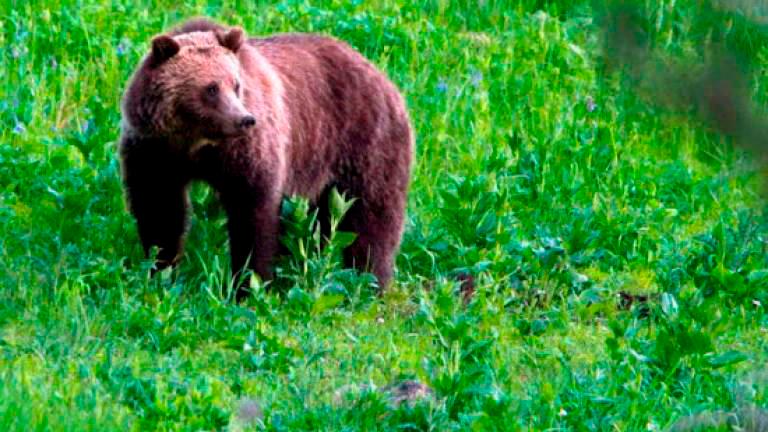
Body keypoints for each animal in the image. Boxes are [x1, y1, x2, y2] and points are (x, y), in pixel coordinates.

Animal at [119, 18, 413, 298]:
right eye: (211, 88)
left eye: (236, 84)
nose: (244, 120)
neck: (196, 144)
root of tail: (382, 75)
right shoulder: (154, 151)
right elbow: (160, 210)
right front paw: (160, 271)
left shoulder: (245, 153)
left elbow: (252, 213)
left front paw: (249, 285)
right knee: (325, 222)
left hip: (364, 142)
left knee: (372, 216)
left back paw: (369, 281)